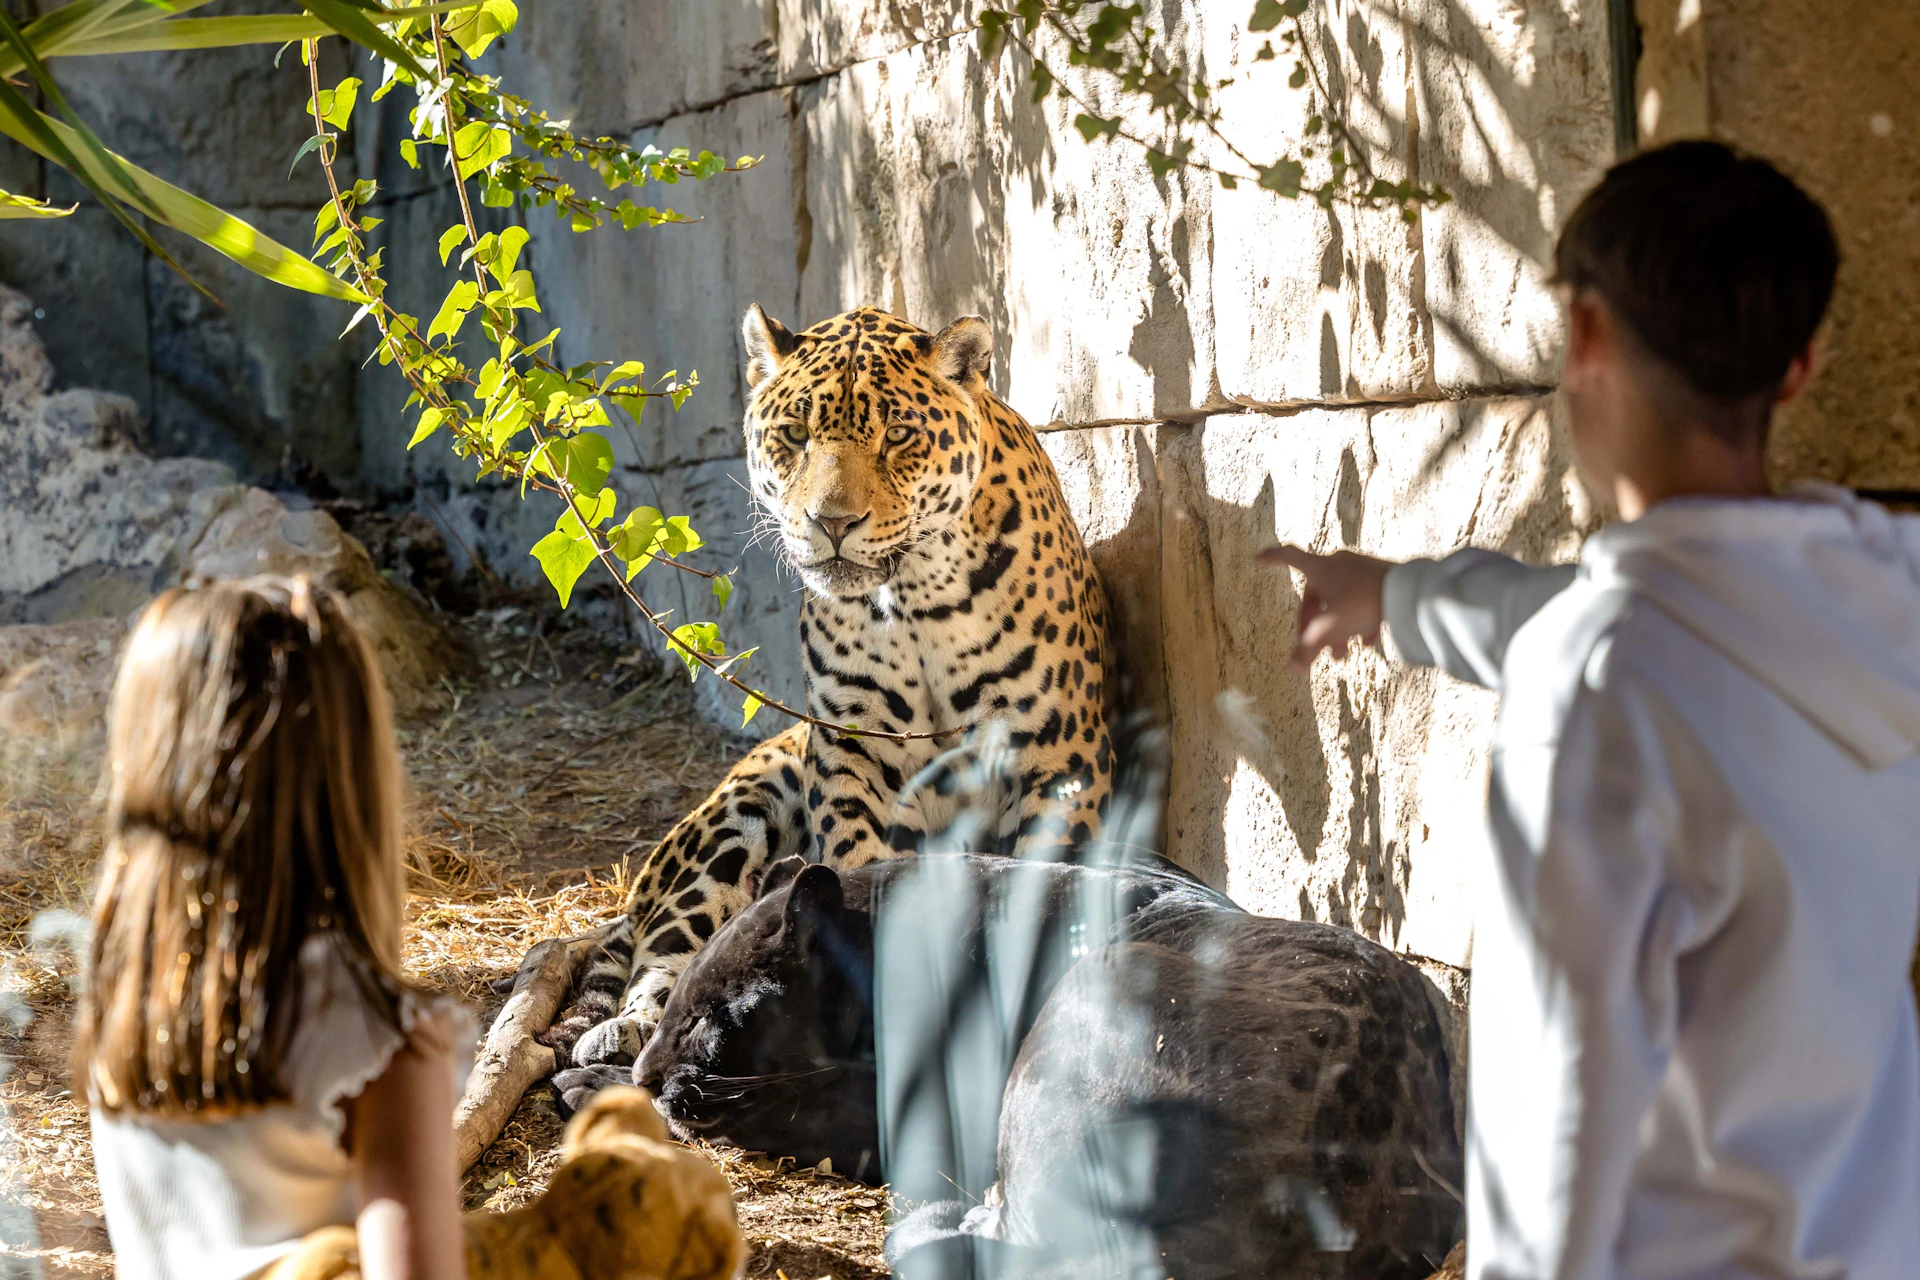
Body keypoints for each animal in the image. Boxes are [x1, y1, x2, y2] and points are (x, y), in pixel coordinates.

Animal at [546, 305, 1116, 1072]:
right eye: (795, 436)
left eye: (898, 435)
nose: (833, 523)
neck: (914, 603)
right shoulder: (851, 750)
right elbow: (856, 867)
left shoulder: (1059, 758)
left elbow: (1046, 891)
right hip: (742, 810)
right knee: (665, 951)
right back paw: (629, 1029)